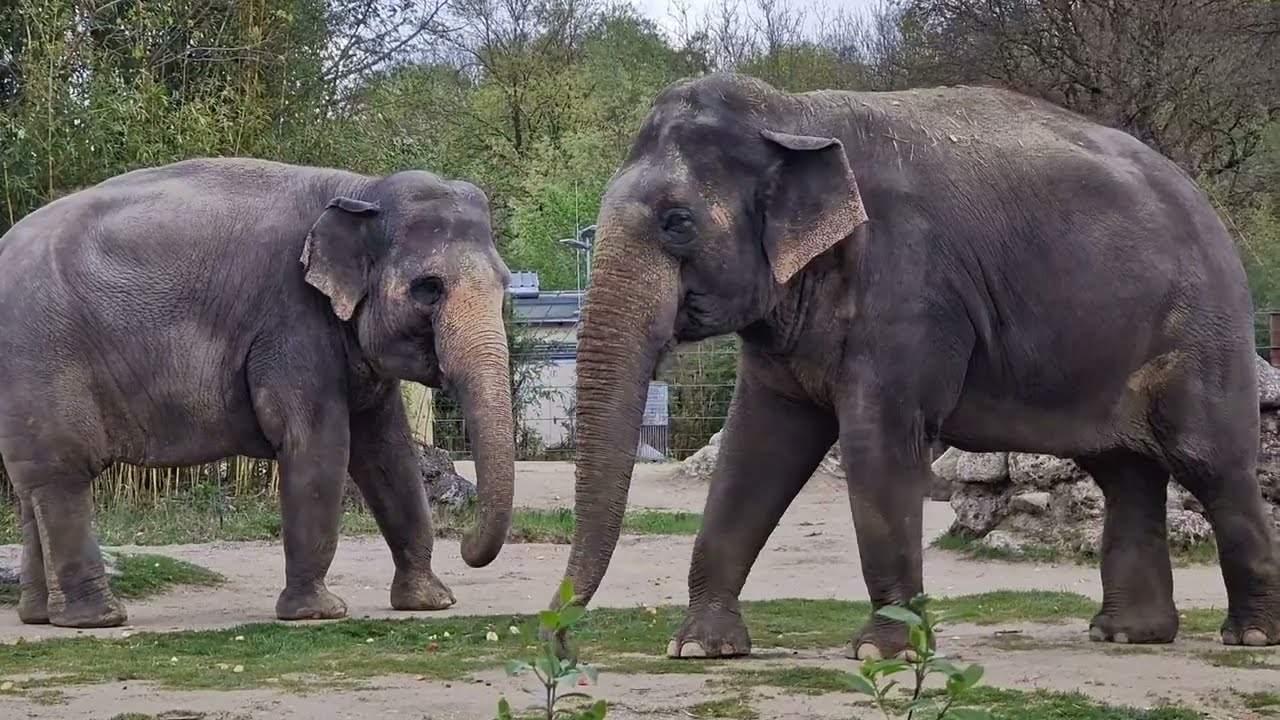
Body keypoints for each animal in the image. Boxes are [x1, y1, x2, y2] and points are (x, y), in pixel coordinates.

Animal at [0, 157, 516, 628]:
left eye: (506, 283)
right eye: (428, 289)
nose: (465, 545)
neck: (361, 188)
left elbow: (388, 451)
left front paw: (431, 602)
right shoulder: (291, 324)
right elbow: (320, 444)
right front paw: (317, 613)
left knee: (34, 488)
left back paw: (40, 617)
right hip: (44, 358)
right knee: (63, 478)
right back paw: (98, 618)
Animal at [554, 72, 1280, 661]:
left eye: (677, 222)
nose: (559, 642)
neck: (791, 111)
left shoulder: (911, 289)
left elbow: (879, 446)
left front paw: (883, 653)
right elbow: (755, 449)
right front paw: (700, 648)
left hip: (1203, 329)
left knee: (1209, 463)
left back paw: (1247, 636)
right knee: (1125, 472)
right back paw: (1127, 635)